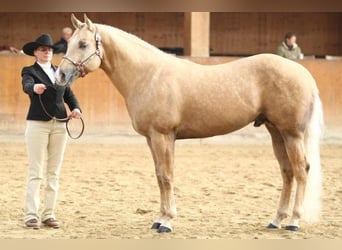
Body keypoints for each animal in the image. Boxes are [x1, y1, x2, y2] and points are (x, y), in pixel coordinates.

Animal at [56, 13, 324, 232]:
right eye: (68, 43)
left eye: (83, 44)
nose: (60, 75)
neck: (148, 75)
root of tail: (303, 72)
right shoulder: (152, 139)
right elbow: (159, 176)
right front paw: (159, 219)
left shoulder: (163, 135)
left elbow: (166, 176)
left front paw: (167, 221)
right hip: (275, 131)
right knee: (287, 172)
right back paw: (276, 220)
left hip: (291, 133)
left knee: (301, 170)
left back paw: (294, 221)